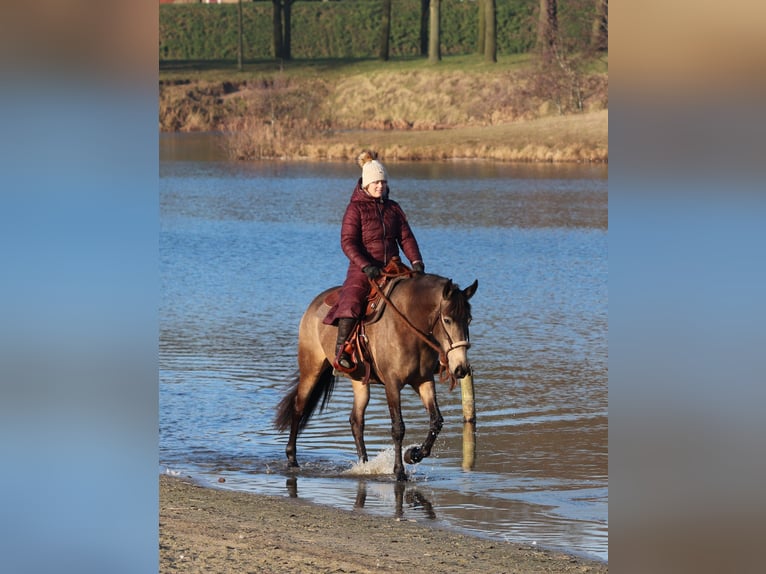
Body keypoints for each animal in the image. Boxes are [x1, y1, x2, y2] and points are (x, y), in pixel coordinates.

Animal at [276, 272, 476, 482]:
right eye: (447, 319)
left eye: (469, 319)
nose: (461, 368)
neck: (409, 325)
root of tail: (314, 304)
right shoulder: (392, 384)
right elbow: (398, 428)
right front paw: (399, 471)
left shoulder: (423, 381)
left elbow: (436, 421)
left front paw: (413, 454)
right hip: (311, 368)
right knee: (299, 408)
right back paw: (292, 459)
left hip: (359, 382)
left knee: (356, 421)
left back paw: (364, 465)